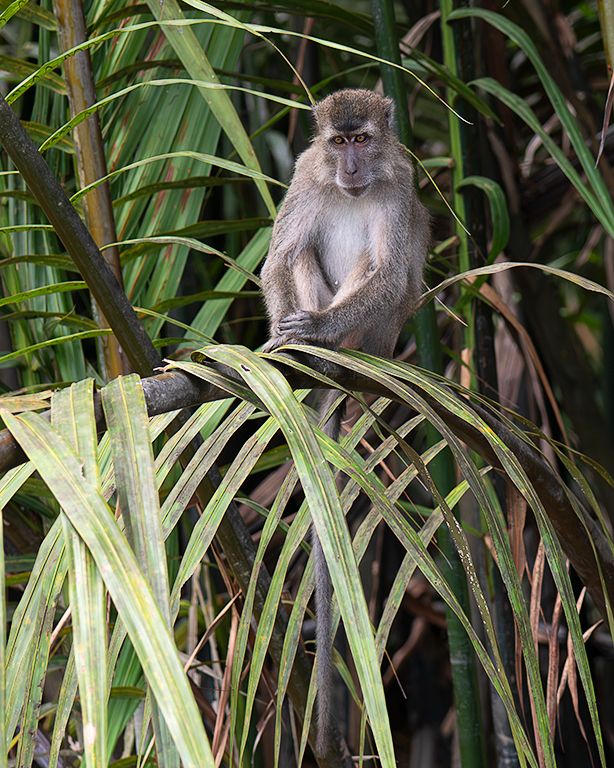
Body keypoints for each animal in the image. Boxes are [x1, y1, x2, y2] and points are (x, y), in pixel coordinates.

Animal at [260, 88, 429, 757]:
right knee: (301, 253)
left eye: (363, 141)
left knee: (385, 273)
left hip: (383, 334)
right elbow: (282, 257)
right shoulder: (308, 174)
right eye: (338, 143)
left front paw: (318, 329)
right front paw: (287, 338)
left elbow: (390, 271)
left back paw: (334, 347)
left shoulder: (400, 181)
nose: (352, 167)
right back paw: (306, 353)